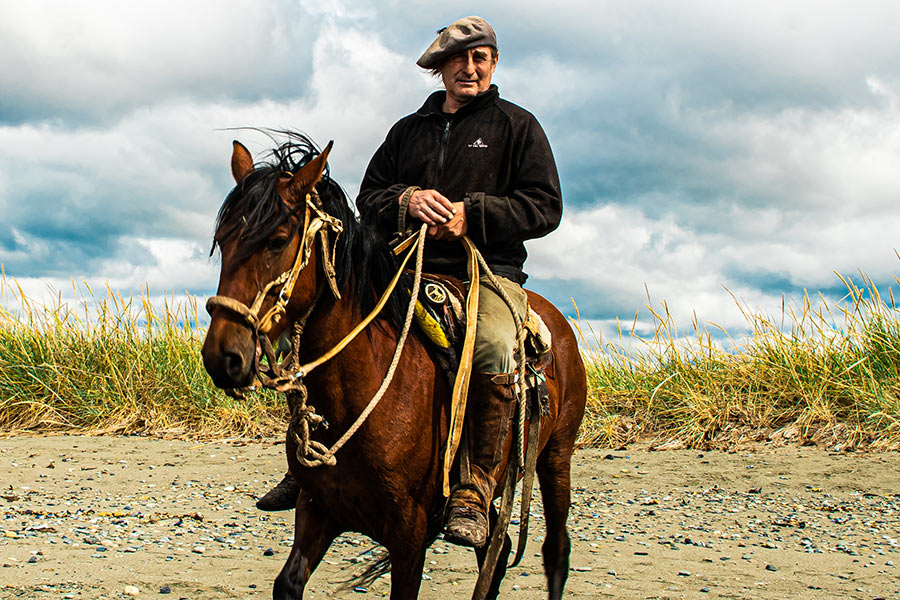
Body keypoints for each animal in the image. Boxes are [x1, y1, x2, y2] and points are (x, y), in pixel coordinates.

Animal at [200, 134, 588, 596]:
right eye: (222, 239)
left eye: (277, 240)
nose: (223, 356)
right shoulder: (316, 510)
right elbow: (288, 584)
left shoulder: (409, 536)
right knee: (495, 554)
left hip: (556, 456)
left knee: (555, 550)